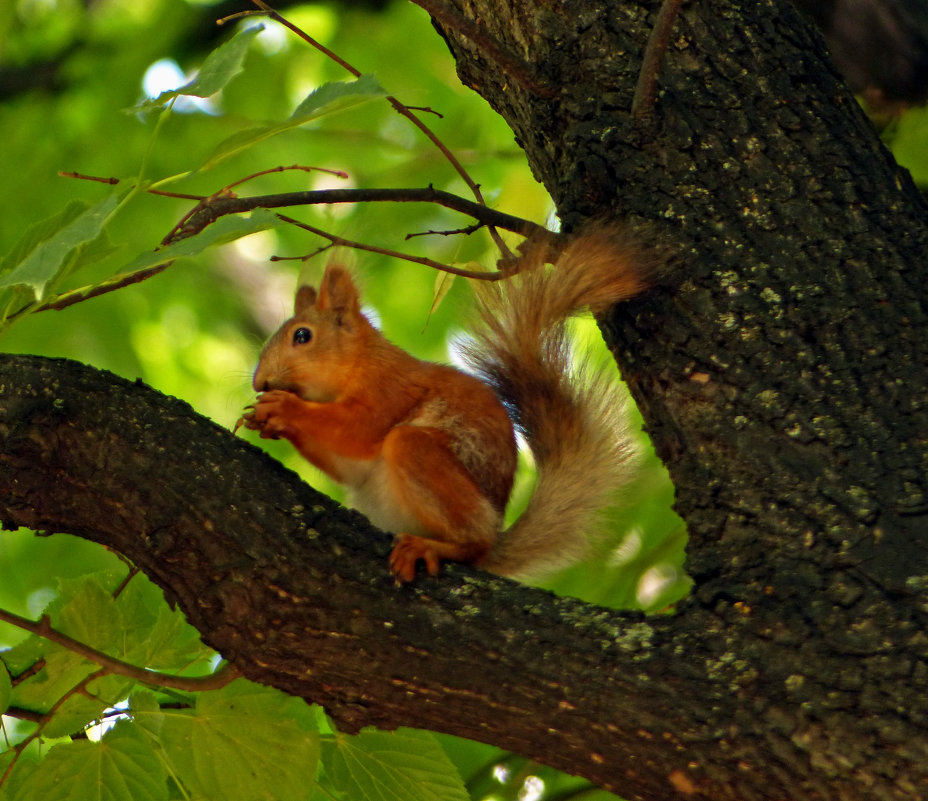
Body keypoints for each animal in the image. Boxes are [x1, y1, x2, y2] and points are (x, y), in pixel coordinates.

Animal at [239, 225, 652, 580]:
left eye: (302, 336)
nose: (260, 381)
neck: (361, 363)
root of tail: (495, 535)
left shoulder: (389, 391)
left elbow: (357, 430)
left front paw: (282, 409)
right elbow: (345, 465)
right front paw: (265, 420)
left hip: (424, 458)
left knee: (469, 538)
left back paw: (431, 548)